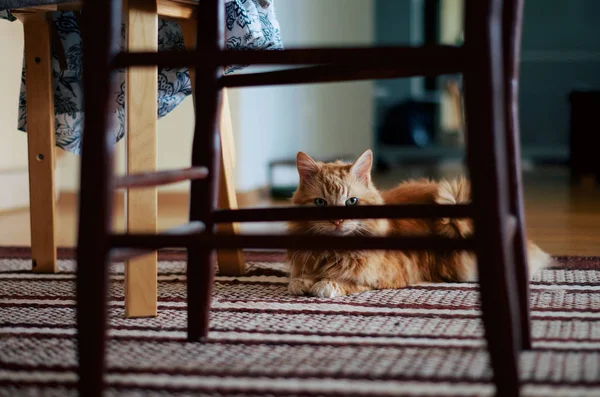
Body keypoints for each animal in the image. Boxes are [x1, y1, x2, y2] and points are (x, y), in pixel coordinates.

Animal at [288, 149, 552, 296]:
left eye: (351, 201)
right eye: (320, 203)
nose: (337, 221)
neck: (333, 251)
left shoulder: (388, 274)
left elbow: (348, 281)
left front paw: (325, 284)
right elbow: (299, 277)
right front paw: (303, 282)